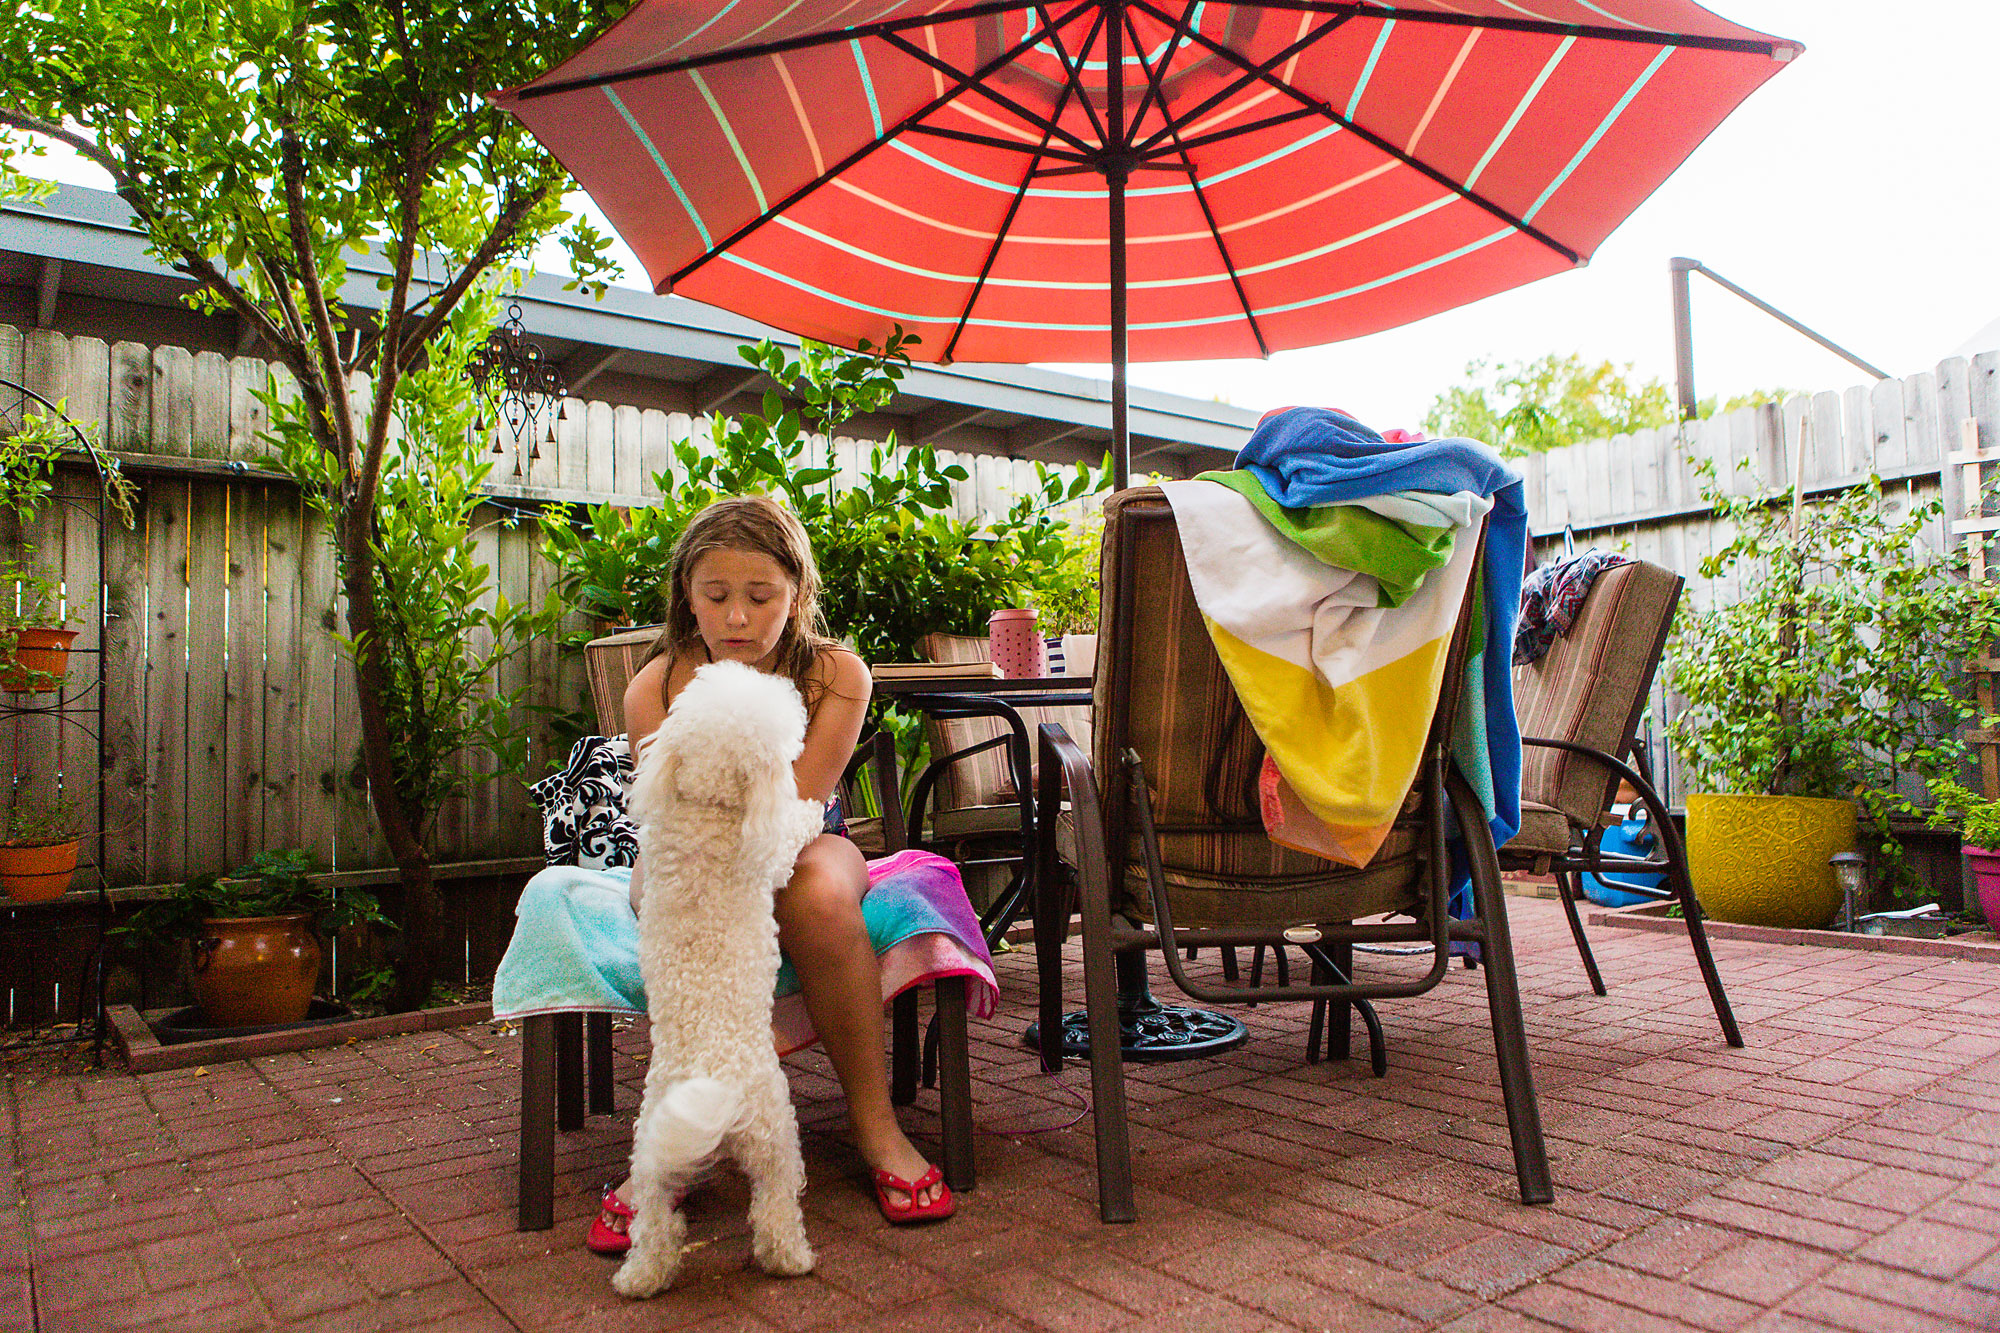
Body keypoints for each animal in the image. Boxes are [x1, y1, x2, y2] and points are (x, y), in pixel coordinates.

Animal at [608, 660, 828, 1288]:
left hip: (653, 1156)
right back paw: (792, 1260)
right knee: (776, 1208)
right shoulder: (771, 849)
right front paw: (812, 809)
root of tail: (714, 1085)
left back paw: (640, 1278)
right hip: (777, 1136)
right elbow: (791, 826)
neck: (705, 805)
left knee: (654, 1224)